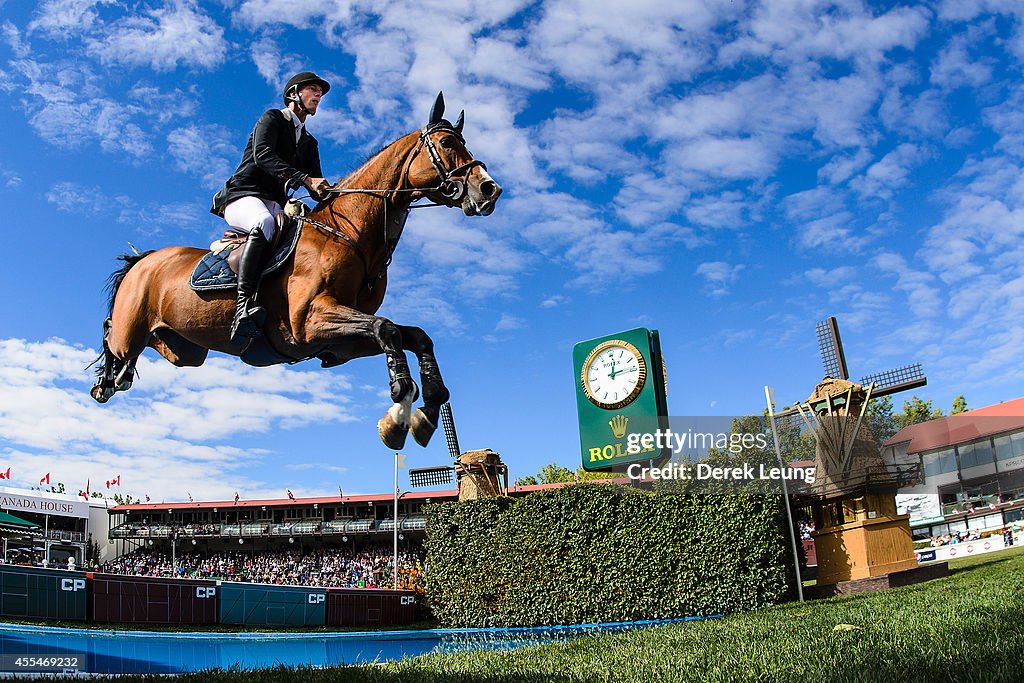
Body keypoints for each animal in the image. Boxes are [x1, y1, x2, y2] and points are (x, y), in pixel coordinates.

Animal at [94, 93, 501, 450]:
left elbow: (413, 336)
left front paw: (426, 410)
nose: (489, 190)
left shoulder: (339, 344)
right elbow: (388, 329)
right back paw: (106, 380)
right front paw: (399, 416)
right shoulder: (309, 322)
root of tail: (145, 260)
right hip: (131, 330)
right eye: (447, 143)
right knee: (113, 336)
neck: (349, 233)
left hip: (187, 349)